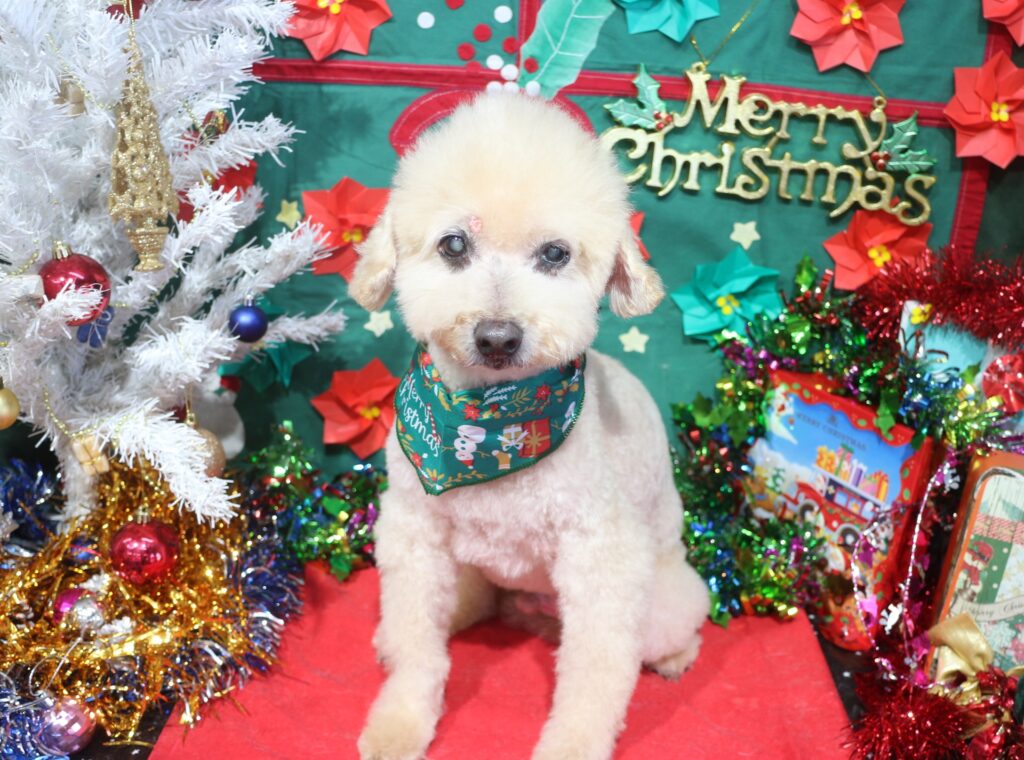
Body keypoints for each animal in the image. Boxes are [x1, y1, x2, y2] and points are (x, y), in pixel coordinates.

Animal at [349, 93, 710, 760]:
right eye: (454, 245)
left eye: (555, 254)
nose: (497, 336)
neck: (488, 429)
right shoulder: (414, 534)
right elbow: (418, 649)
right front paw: (400, 721)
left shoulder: (603, 561)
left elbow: (594, 676)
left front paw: (573, 744)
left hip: (662, 599)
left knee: (668, 629)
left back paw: (676, 655)